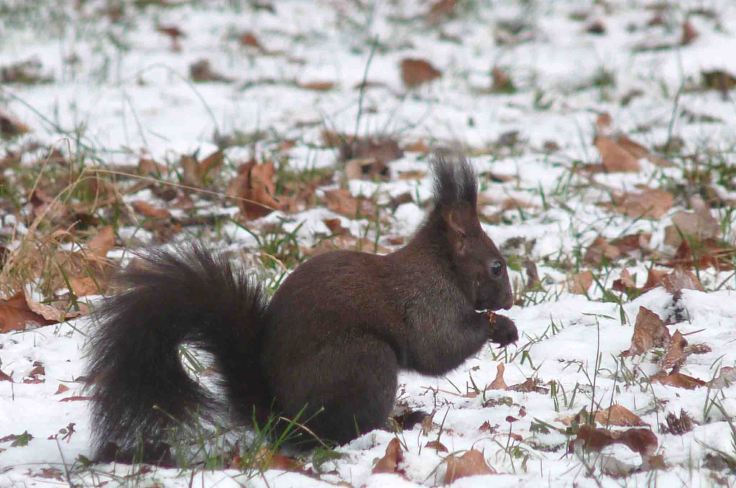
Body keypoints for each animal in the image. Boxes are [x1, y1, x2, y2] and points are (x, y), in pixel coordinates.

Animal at [86, 155, 518, 463]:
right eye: (496, 266)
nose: (511, 301)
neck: (442, 266)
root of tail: (282, 421)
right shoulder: (426, 300)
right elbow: (437, 348)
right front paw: (500, 328)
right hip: (364, 361)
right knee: (345, 431)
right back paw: (396, 426)